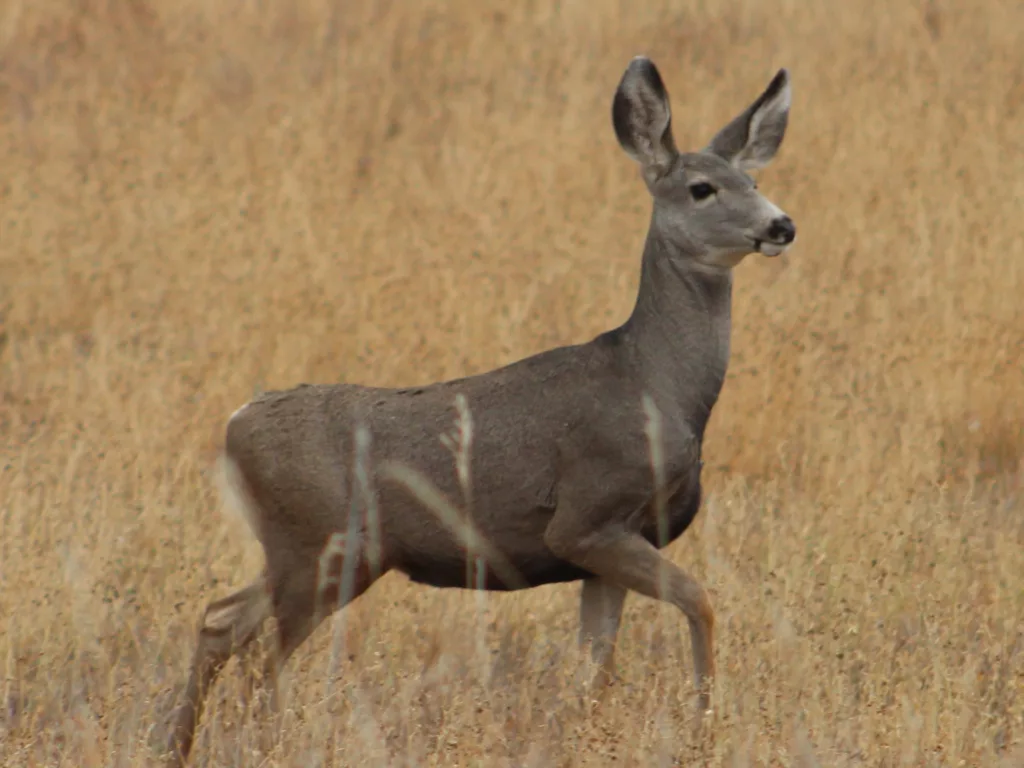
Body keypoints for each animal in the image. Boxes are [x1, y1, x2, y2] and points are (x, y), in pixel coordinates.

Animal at [165, 56, 796, 764]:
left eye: (754, 179)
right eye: (701, 188)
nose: (781, 225)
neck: (656, 383)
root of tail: (235, 423)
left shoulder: (604, 547)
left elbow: (594, 668)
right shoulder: (587, 517)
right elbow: (701, 600)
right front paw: (706, 723)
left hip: (302, 549)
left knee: (219, 622)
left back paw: (175, 745)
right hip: (326, 544)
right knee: (259, 659)